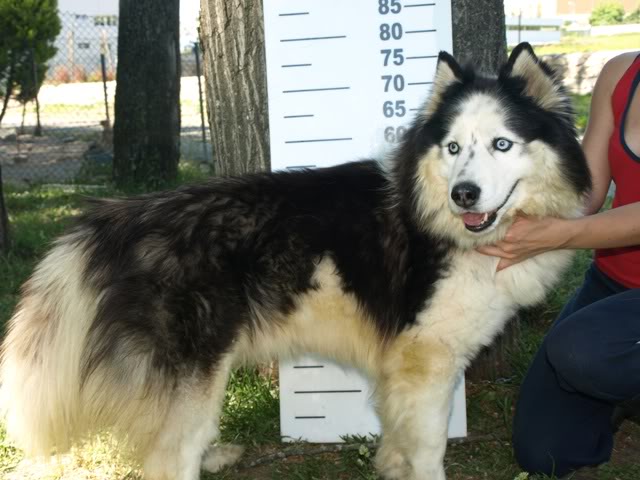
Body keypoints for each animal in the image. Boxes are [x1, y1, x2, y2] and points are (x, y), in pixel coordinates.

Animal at [0, 43, 592, 478]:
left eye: (501, 144)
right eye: (452, 148)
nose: (463, 195)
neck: (435, 217)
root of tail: (122, 215)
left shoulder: (400, 366)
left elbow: (398, 437)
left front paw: (388, 466)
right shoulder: (427, 359)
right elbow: (429, 449)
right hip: (197, 373)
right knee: (170, 457)